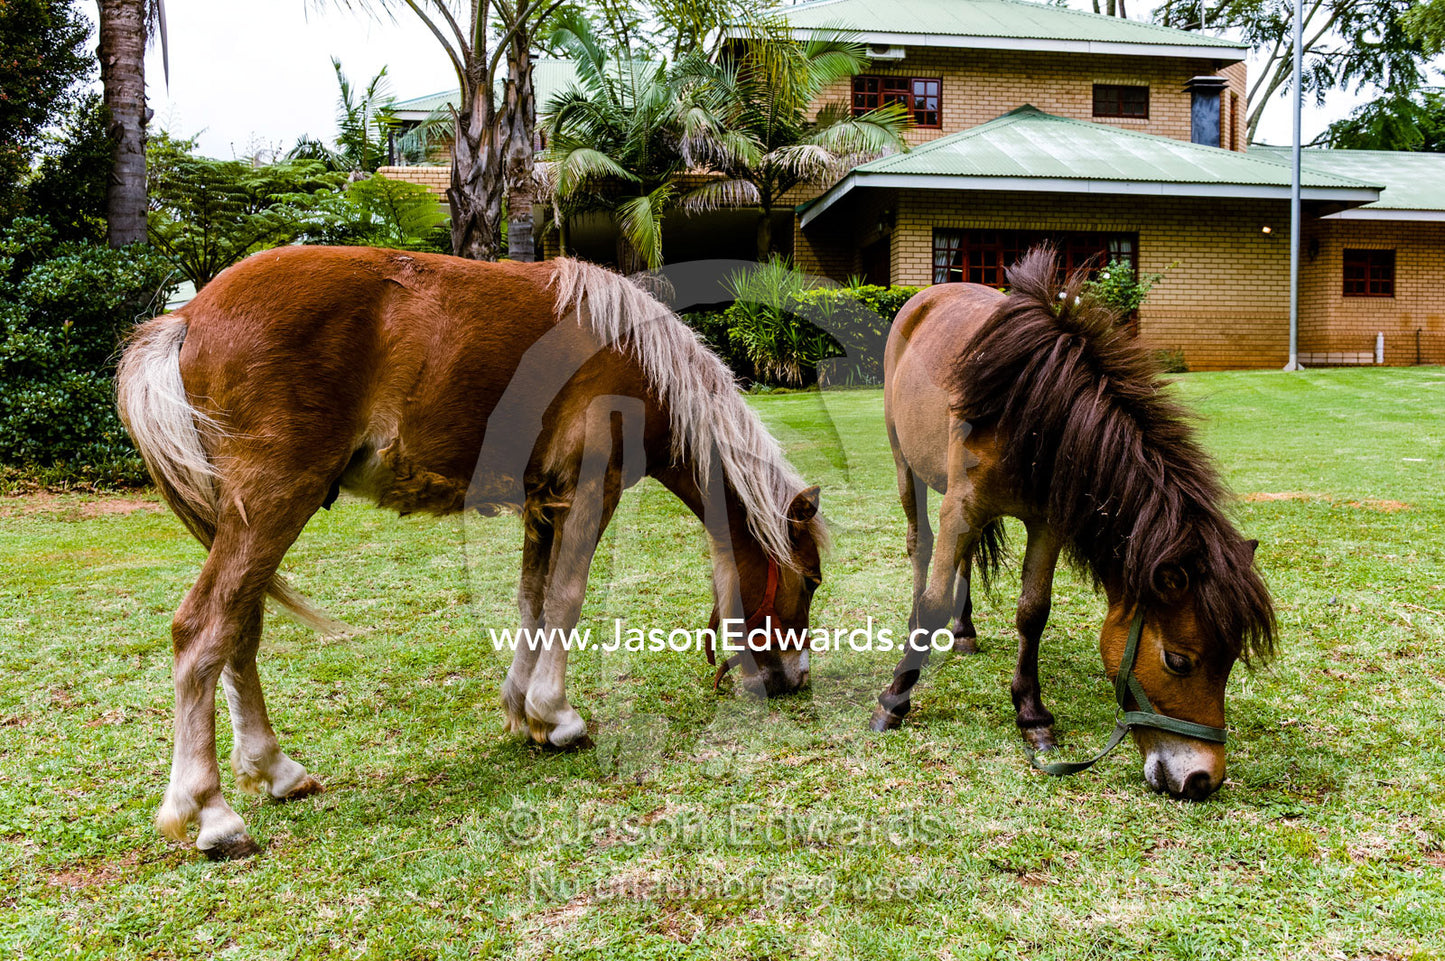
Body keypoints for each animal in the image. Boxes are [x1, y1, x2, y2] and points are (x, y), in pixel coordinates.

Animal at [117, 246, 827, 859]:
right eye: (812, 582)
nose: (795, 681)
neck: (635, 357)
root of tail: (188, 314)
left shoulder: (545, 502)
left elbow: (532, 601)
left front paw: (524, 711)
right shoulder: (591, 488)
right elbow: (566, 598)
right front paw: (557, 716)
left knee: (240, 629)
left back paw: (275, 771)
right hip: (271, 506)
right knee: (203, 630)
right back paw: (211, 814)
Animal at [869, 248, 1275, 800]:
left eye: (1231, 661)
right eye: (1178, 661)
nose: (1202, 780)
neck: (1038, 414)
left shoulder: (1047, 523)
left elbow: (1032, 612)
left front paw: (1032, 715)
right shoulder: (961, 506)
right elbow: (932, 602)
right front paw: (895, 698)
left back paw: (966, 629)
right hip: (905, 467)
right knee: (921, 545)